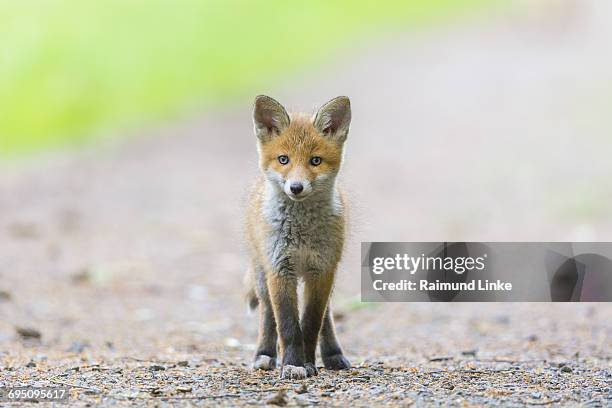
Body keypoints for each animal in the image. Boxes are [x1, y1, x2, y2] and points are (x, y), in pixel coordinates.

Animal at [243, 95, 350, 380]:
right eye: (283, 159)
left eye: (315, 161)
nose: (296, 187)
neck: (301, 233)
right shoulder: (280, 269)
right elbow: (289, 326)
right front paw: (292, 364)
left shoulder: (321, 270)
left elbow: (311, 322)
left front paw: (309, 362)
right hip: (262, 276)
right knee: (268, 315)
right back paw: (264, 355)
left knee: (327, 318)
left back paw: (332, 354)